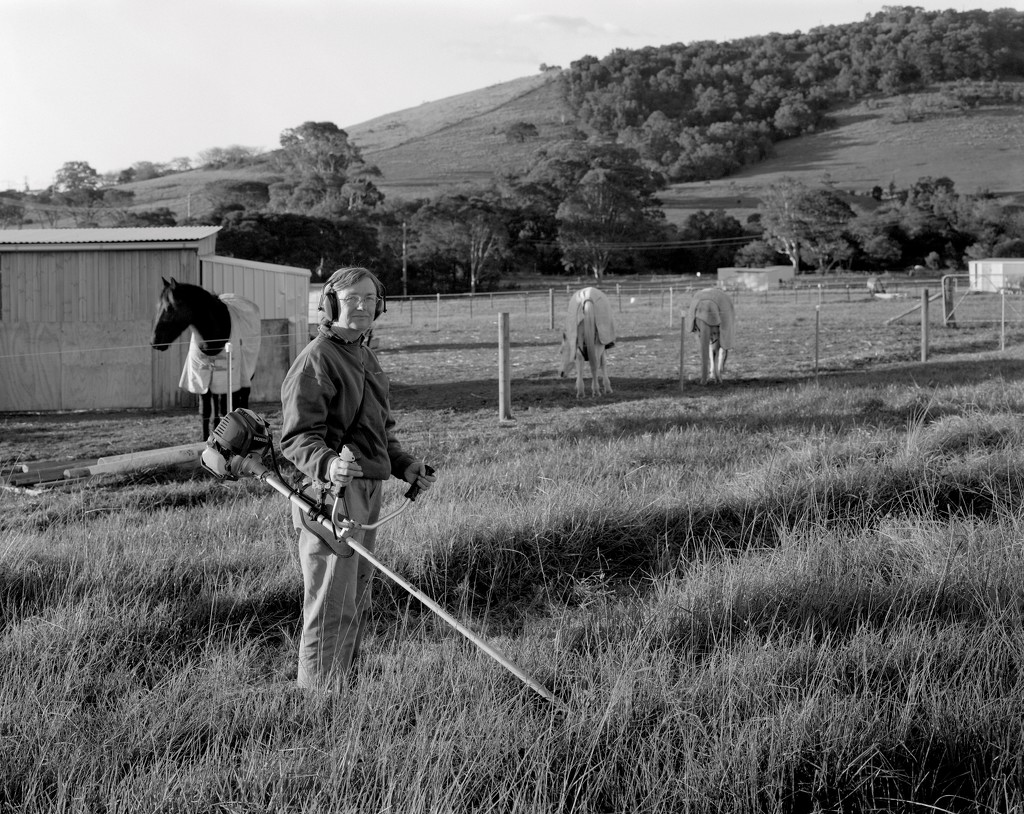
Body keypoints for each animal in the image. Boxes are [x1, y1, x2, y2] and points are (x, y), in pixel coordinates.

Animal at [153, 274, 264, 440]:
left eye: (170, 308)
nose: (154, 341)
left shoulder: (226, 380)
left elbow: (225, 410)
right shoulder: (202, 381)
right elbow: (205, 413)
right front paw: (206, 438)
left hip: (246, 374)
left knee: (242, 397)